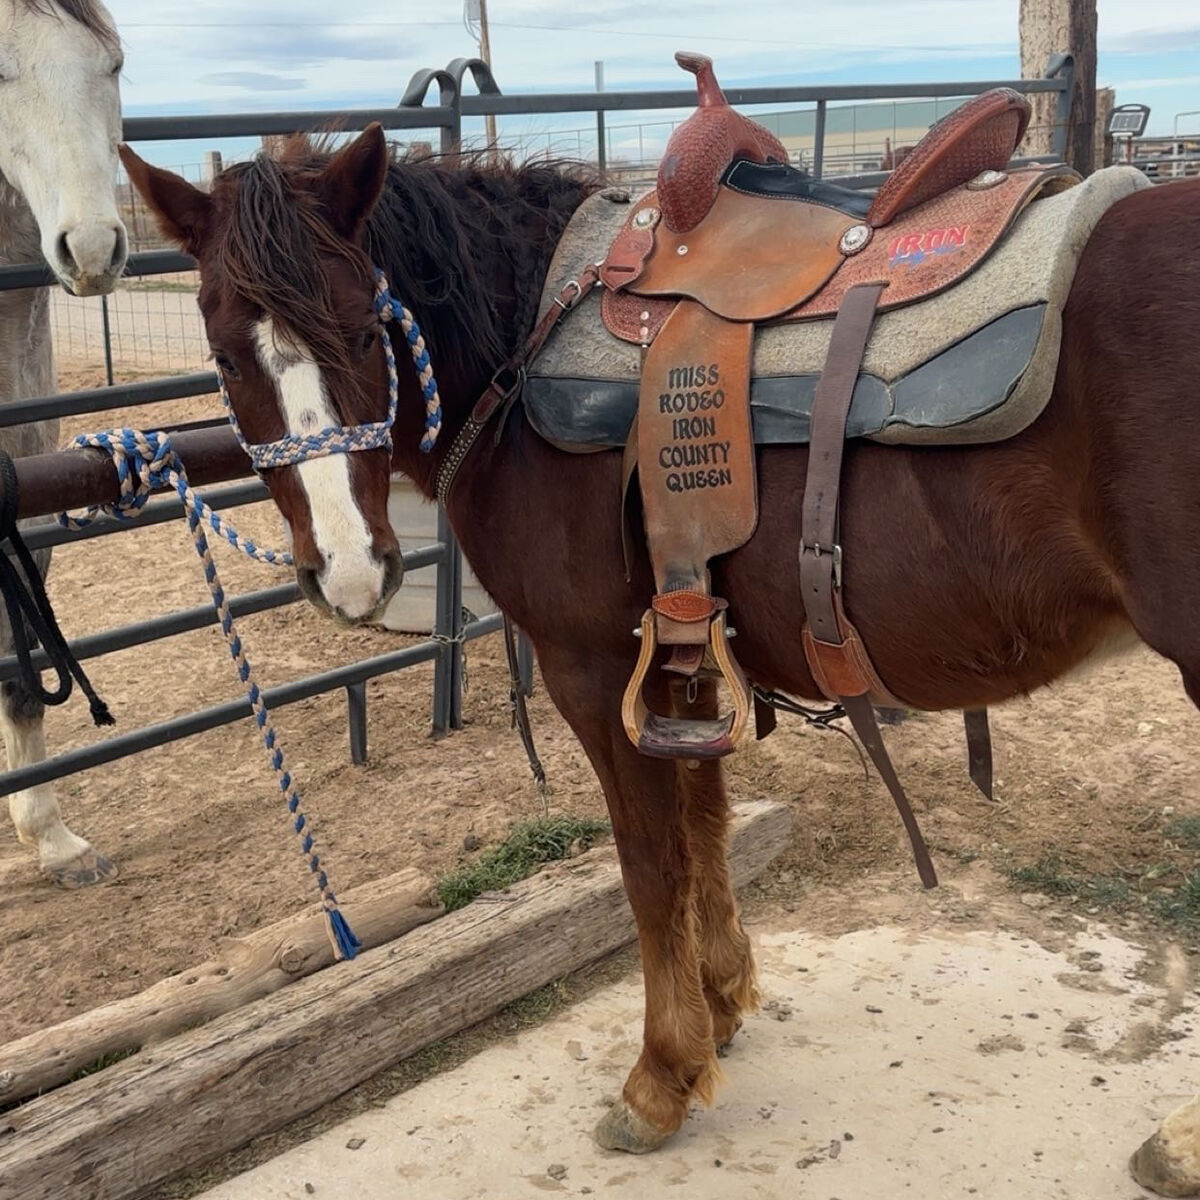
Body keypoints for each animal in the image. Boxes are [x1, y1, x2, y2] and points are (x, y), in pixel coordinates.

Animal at [120, 123, 1200, 1153]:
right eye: (225, 356)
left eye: (363, 329)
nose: (348, 571)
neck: (523, 339)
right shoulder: (685, 654)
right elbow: (706, 826)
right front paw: (721, 1004)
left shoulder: (593, 669)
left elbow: (648, 863)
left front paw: (660, 1077)